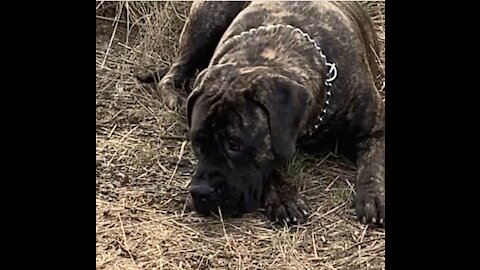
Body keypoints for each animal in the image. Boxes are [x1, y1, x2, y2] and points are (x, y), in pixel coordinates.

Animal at [137, 1, 384, 227]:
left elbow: (373, 164)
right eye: (197, 143)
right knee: (173, 72)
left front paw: (373, 195)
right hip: (205, 22)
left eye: (235, 145)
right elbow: (268, 167)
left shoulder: (375, 130)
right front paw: (283, 197)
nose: (200, 191)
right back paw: (175, 97)